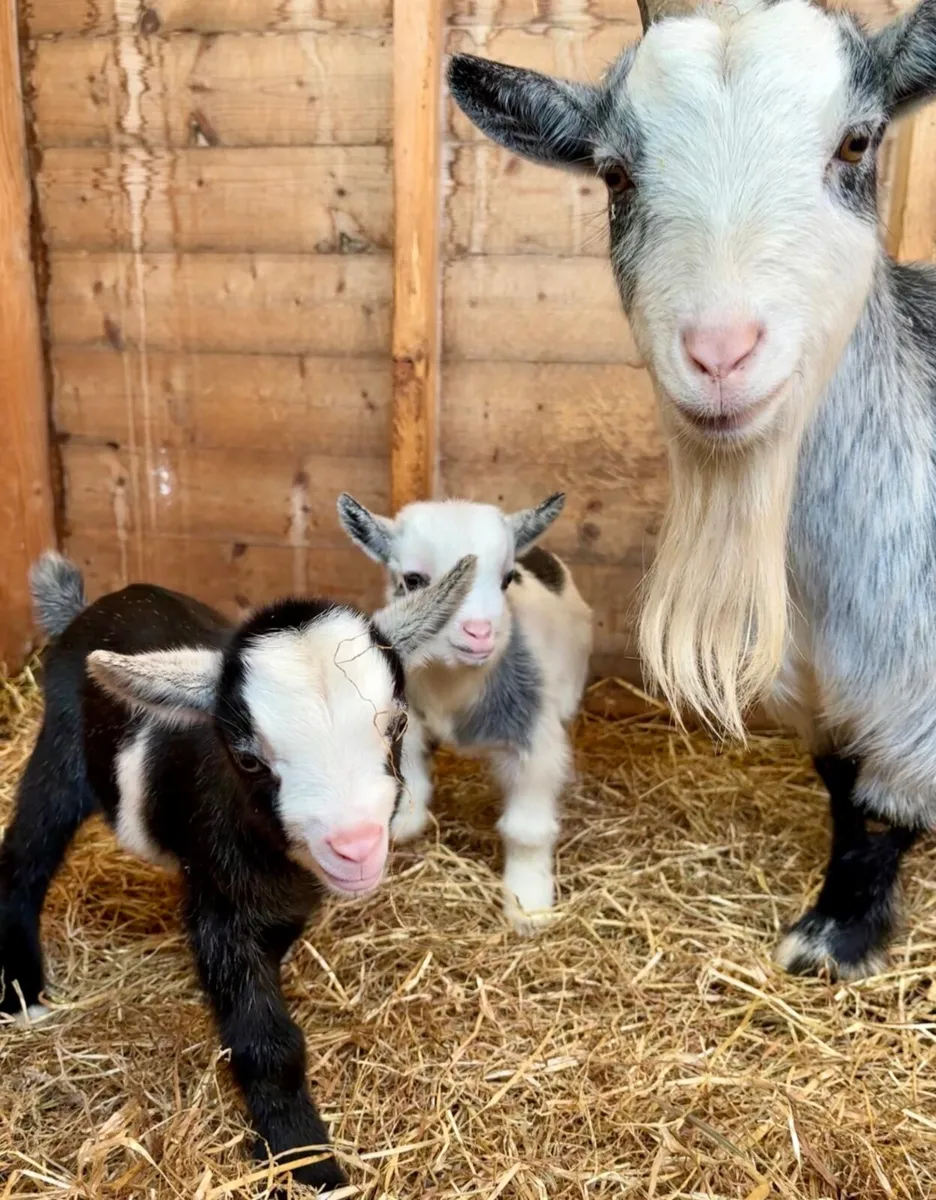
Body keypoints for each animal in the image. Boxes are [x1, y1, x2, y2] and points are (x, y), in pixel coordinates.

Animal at [0, 551, 476, 1190]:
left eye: (397, 725)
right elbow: (265, 1039)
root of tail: (85, 610)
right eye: (248, 759)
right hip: (59, 750)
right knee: (25, 857)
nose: (355, 845)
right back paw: (21, 990)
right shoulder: (221, 910)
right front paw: (308, 1162)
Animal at [337, 493, 593, 931]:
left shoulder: (533, 738)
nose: (480, 633)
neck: (453, 688)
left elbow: (527, 829)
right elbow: (413, 782)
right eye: (414, 580)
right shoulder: (409, 723)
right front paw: (402, 826)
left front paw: (528, 903)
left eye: (506, 578)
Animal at [449, 0, 936, 978]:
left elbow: (886, 805)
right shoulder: (820, 691)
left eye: (857, 143)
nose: (719, 354)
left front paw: (839, 940)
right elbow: (843, 789)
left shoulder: (918, 695)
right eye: (614, 172)